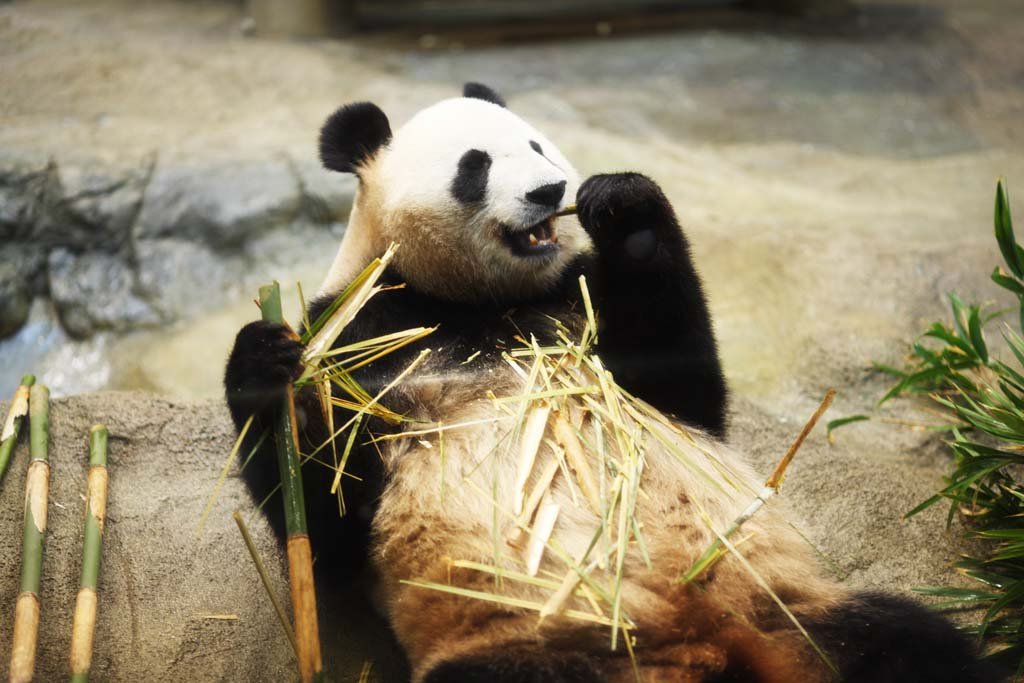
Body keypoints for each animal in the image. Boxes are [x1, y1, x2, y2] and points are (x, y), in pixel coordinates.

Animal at [224, 83, 999, 682]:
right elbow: (328, 516)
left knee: (912, 642)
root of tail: (710, 647)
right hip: (539, 644)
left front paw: (626, 208)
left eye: (537, 146)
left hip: (795, 616)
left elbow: (684, 387)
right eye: (475, 166)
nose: (549, 192)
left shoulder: (578, 300)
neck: (477, 302)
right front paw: (263, 364)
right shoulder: (360, 334)